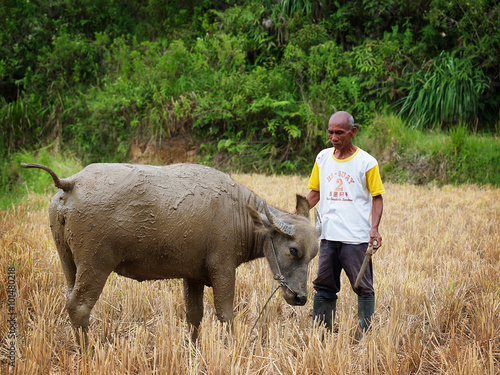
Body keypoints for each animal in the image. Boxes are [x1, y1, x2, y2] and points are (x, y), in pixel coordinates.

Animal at [21, 163, 318, 342]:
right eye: (293, 250)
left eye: (313, 255)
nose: (301, 298)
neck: (240, 213)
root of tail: (71, 183)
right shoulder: (223, 270)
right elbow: (225, 314)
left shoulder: (193, 276)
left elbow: (194, 315)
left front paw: (194, 349)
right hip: (95, 264)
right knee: (79, 306)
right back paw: (90, 352)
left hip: (68, 262)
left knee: (69, 299)